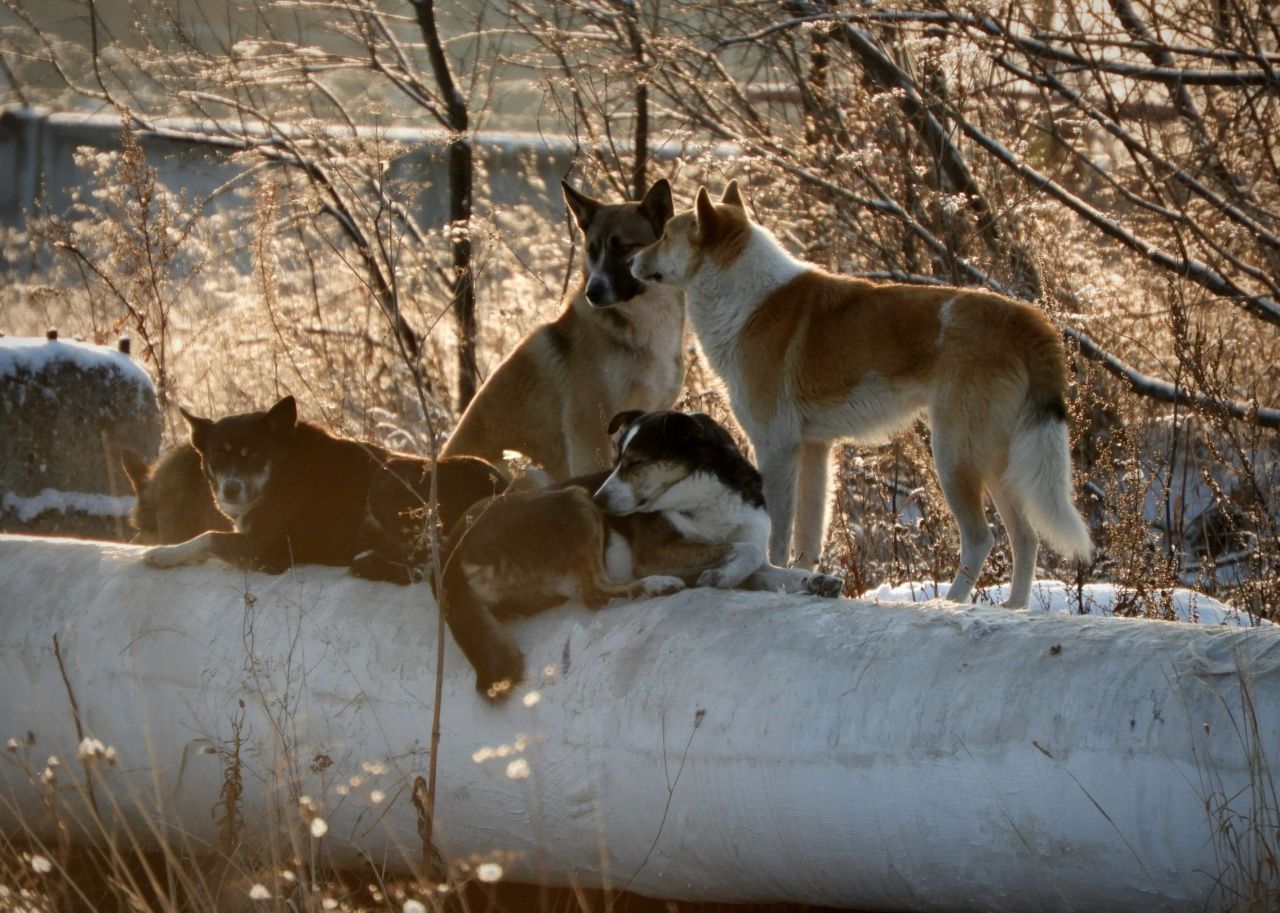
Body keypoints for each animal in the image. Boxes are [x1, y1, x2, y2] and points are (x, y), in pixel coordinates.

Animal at [629, 181, 1090, 609]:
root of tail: (1024, 317)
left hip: (955, 458)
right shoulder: (815, 450)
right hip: (996, 462)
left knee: (982, 539)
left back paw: (952, 602)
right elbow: (809, 540)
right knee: (1026, 538)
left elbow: (777, 534)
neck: (747, 299)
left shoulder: (776, 447)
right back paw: (1015, 607)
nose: (631, 262)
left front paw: (775, 577)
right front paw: (806, 583)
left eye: (665, 235)